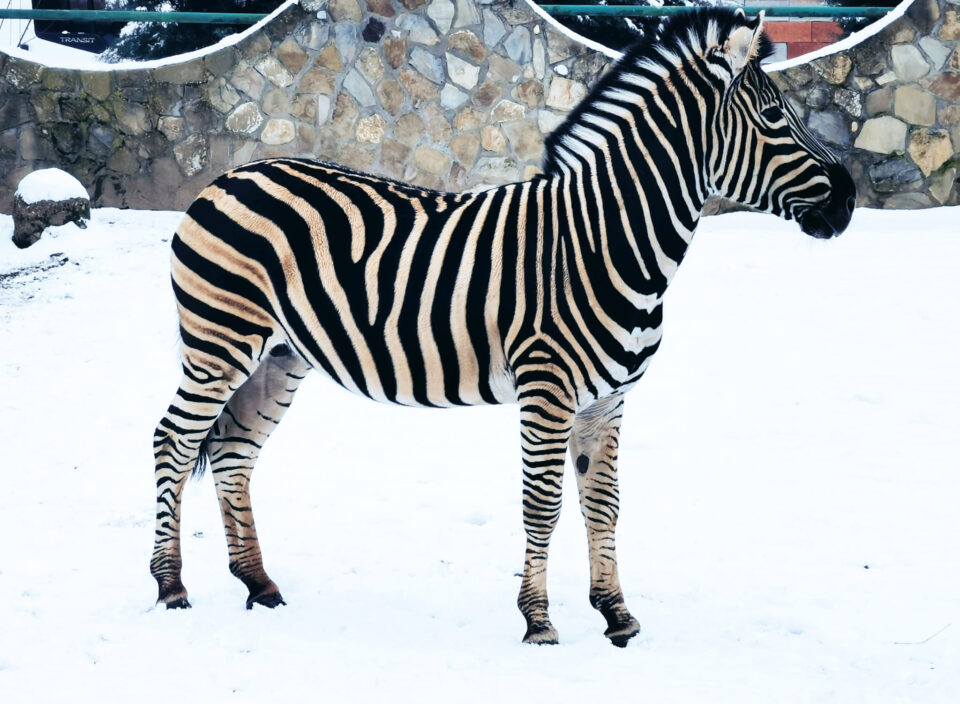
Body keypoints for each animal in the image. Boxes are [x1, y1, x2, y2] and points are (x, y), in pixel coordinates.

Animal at [150, 9, 856, 648]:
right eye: (774, 118)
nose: (849, 200)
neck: (607, 241)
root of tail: (229, 176)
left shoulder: (609, 400)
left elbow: (604, 503)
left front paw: (617, 616)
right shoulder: (548, 392)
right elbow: (542, 504)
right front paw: (539, 623)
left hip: (279, 355)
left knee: (235, 452)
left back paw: (260, 585)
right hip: (220, 344)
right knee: (174, 441)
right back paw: (171, 587)